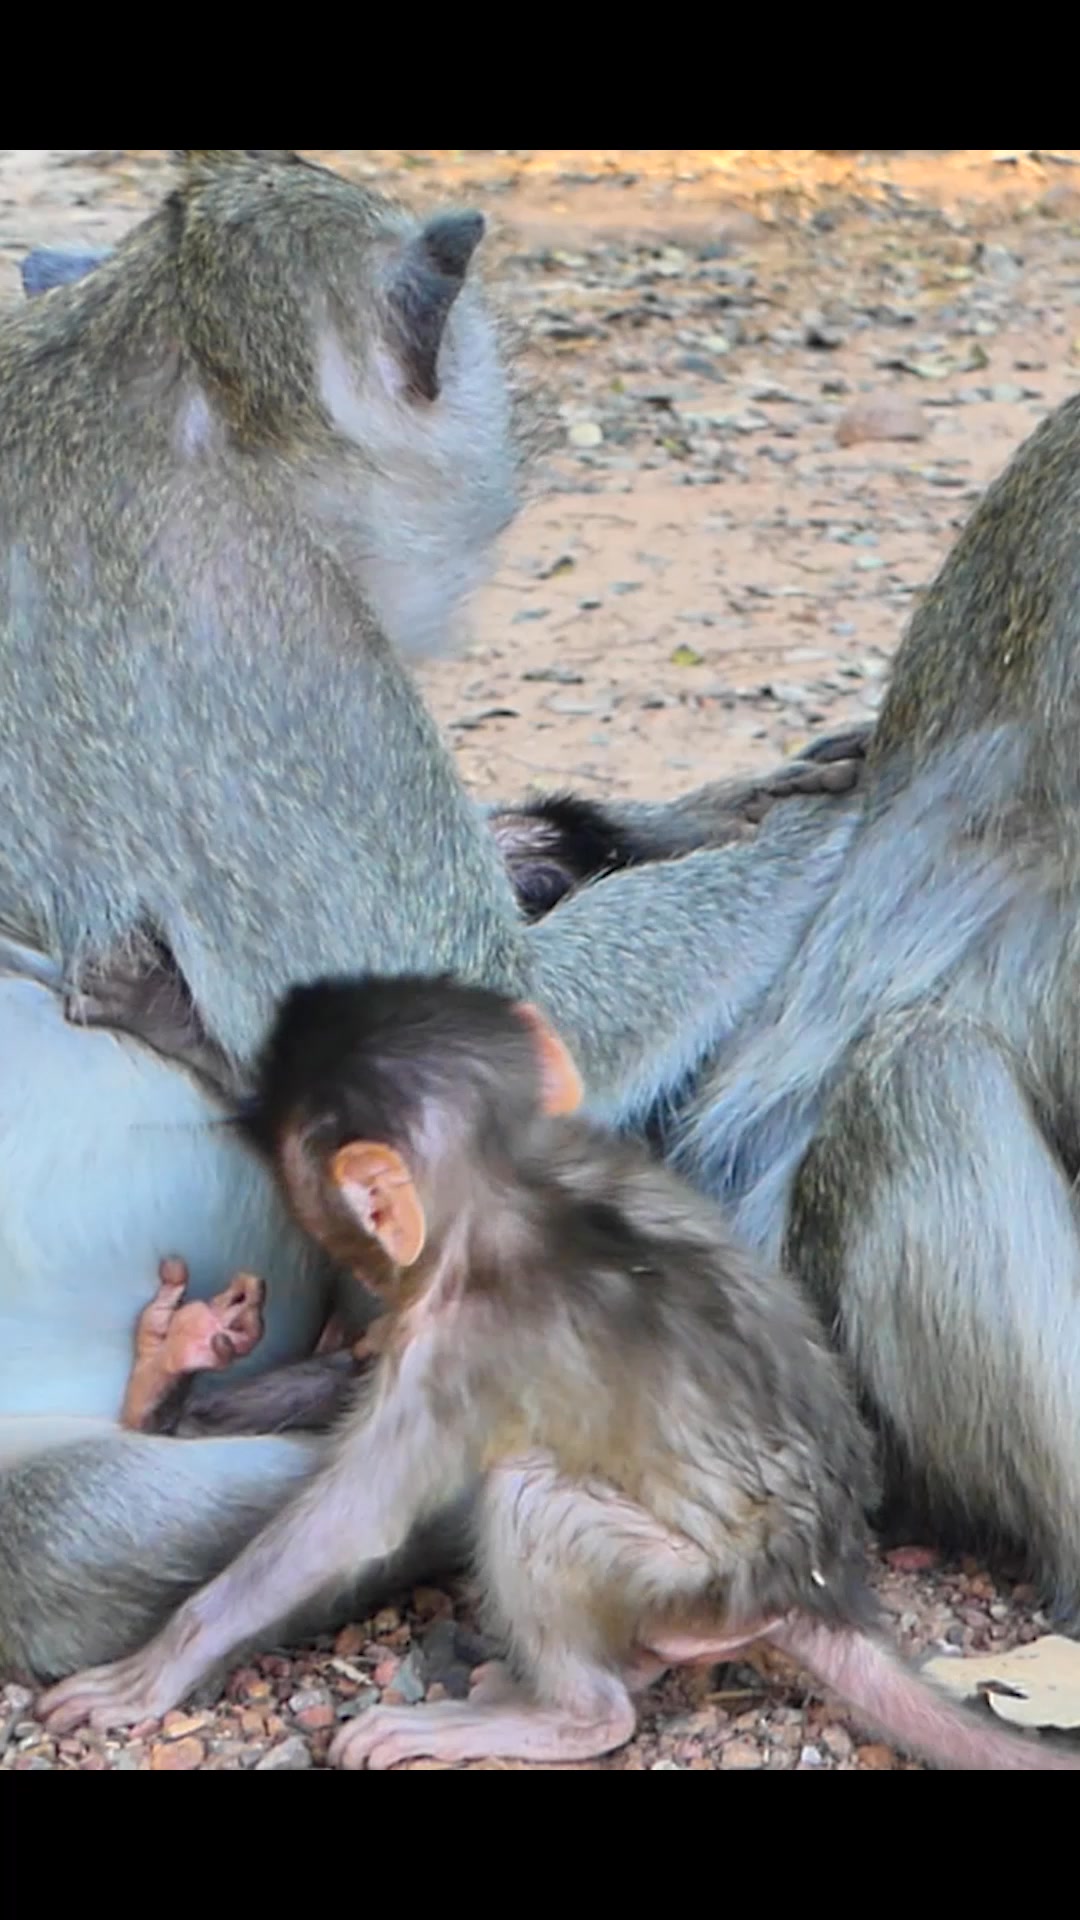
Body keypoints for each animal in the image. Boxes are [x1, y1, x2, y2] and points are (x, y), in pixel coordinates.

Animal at [38, 975, 1079, 1770]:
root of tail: (820, 1587)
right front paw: (174, 1368)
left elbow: (350, 1522)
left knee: (529, 1490)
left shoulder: (459, 1335)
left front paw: (157, 1665)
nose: (363, 1274)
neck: (515, 1186)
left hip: (694, 1582)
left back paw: (574, 1713)